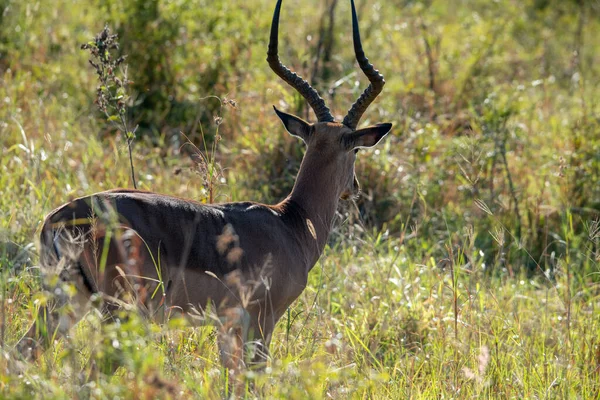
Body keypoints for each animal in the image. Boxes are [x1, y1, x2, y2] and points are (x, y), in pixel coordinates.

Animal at [15, 0, 394, 374]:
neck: (292, 223)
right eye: (357, 149)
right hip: (119, 313)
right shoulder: (261, 322)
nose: (354, 188)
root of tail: (60, 219)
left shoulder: (227, 327)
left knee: (23, 352)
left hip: (67, 303)